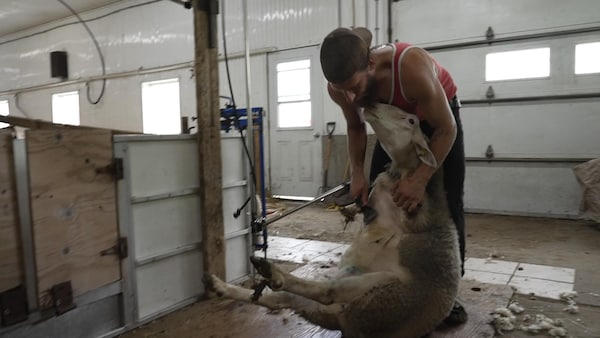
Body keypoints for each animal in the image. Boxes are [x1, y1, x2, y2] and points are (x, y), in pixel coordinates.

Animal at [204, 103, 462, 338]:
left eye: (411, 121)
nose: (372, 104)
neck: (399, 173)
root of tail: (344, 321)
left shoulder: (420, 211)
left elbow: (414, 211)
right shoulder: (377, 192)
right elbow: (366, 200)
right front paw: (351, 205)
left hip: (382, 289)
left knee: (327, 292)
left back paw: (271, 273)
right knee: (278, 300)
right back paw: (222, 286)